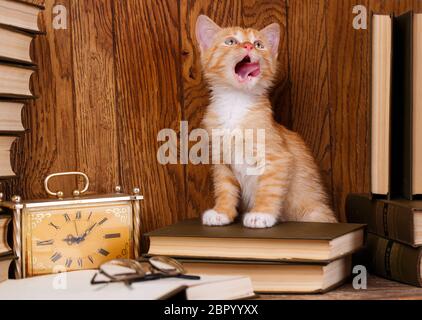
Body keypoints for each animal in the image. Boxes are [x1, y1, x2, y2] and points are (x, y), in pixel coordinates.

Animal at [196, 16, 338, 229]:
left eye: (258, 44)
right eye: (231, 41)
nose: (248, 46)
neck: (235, 104)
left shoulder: (277, 158)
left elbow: (269, 188)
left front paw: (262, 214)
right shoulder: (221, 161)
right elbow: (224, 188)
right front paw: (221, 212)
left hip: (316, 214)